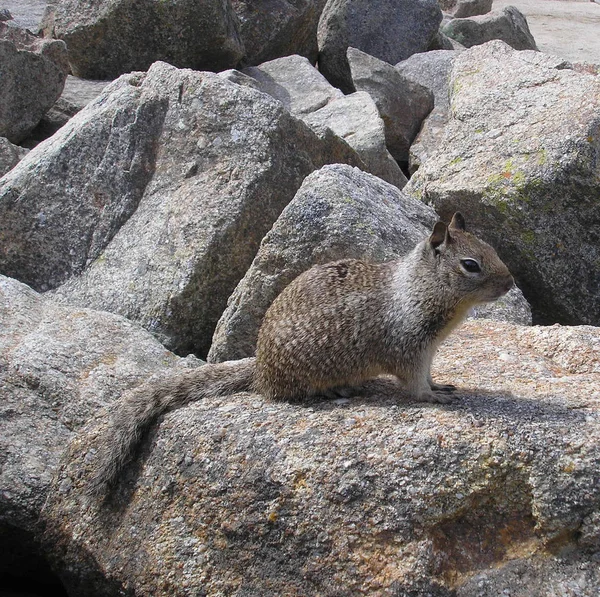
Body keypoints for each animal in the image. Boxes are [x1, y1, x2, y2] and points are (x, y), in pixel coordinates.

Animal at [86, 212, 512, 496]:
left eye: (493, 249)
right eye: (471, 265)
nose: (510, 282)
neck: (421, 288)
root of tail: (260, 370)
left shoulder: (428, 350)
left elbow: (429, 375)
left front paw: (441, 385)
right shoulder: (410, 347)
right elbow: (415, 384)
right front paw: (434, 397)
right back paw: (335, 390)